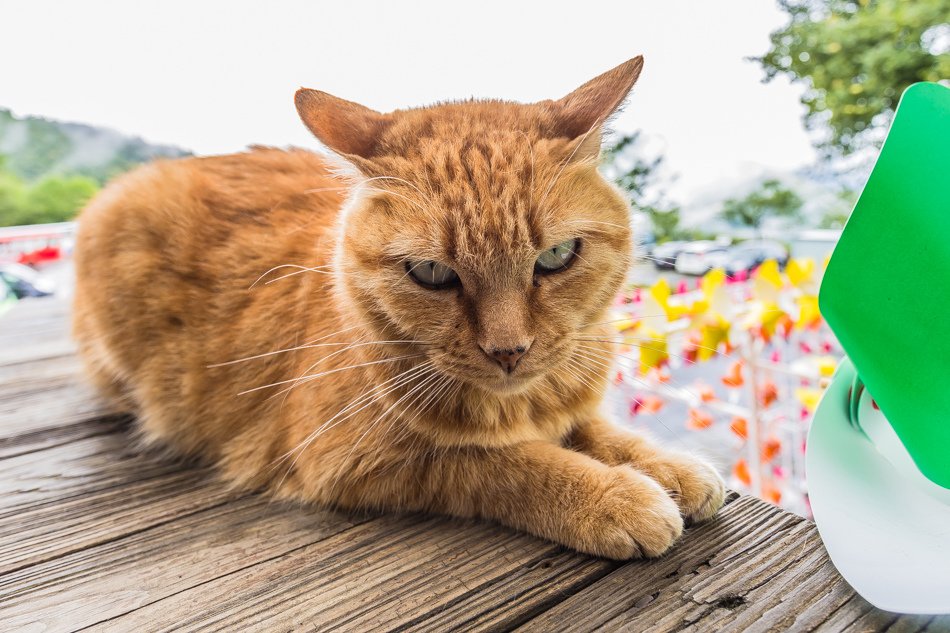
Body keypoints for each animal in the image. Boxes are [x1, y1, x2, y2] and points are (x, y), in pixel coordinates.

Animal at [74, 56, 724, 556]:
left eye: (557, 256)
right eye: (432, 272)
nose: (509, 351)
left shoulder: (567, 397)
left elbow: (600, 431)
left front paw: (667, 466)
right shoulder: (360, 461)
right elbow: (509, 463)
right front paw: (613, 495)